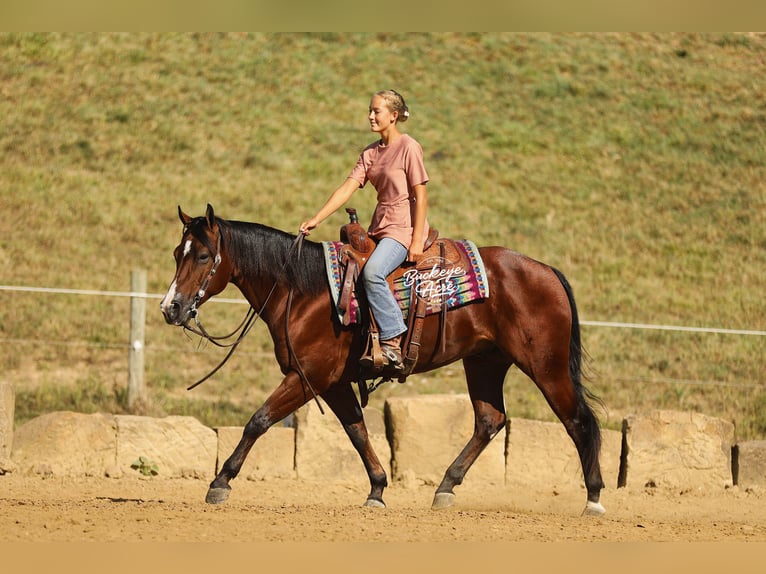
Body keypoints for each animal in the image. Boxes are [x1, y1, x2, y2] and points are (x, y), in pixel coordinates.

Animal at [160, 204, 606, 516]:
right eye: (176, 252)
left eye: (203, 256)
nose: (171, 307)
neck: (303, 291)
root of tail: (546, 270)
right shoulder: (333, 382)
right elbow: (357, 431)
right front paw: (377, 488)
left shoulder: (308, 378)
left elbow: (259, 420)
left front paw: (220, 481)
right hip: (485, 362)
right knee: (489, 420)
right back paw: (445, 487)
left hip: (546, 366)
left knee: (578, 421)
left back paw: (594, 498)